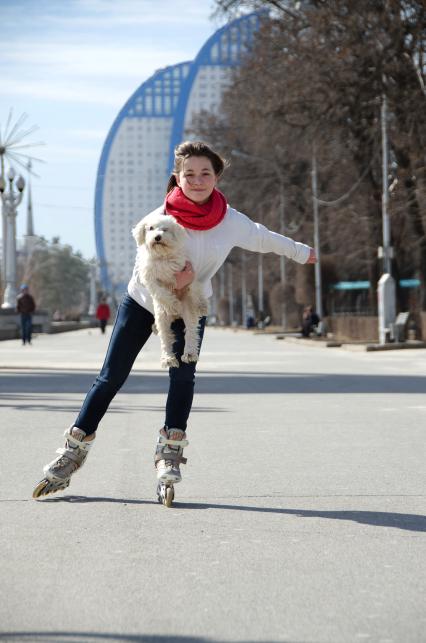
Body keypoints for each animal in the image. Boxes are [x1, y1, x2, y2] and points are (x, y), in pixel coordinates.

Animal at [132, 214, 207, 370]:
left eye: (165, 229)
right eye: (150, 228)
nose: (158, 237)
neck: (162, 257)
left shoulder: (187, 272)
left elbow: (195, 290)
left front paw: (201, 304)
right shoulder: (150, 278)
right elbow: (160, 292)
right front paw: (172, 304)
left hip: (189, 312)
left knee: (191, 332)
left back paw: (189, 353)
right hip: (161, 318)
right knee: (166, 339)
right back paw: (168, 359)